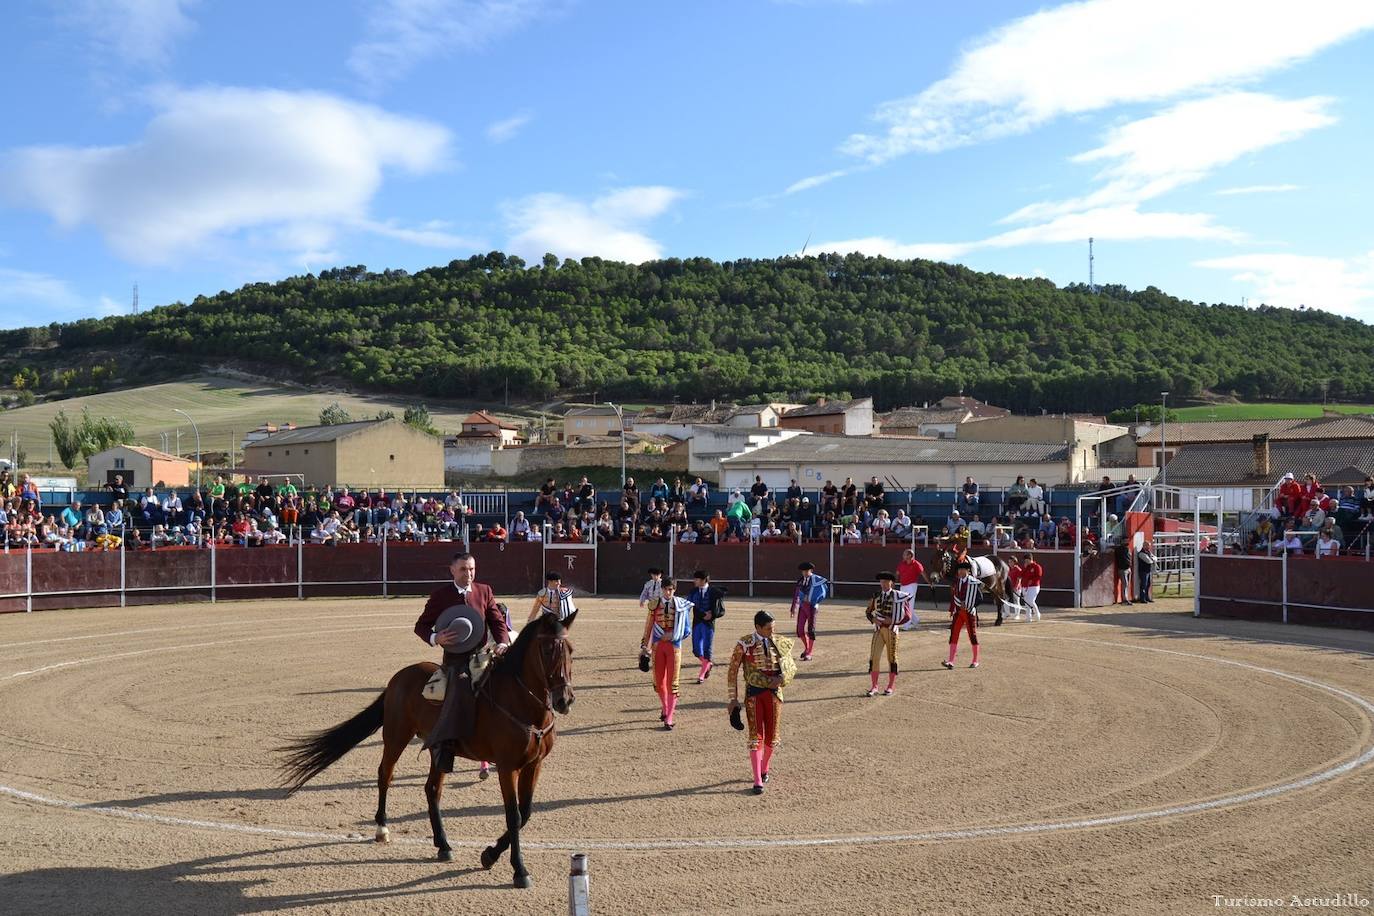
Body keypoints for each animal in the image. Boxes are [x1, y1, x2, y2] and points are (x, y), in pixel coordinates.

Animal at [278, 609, 579, 889]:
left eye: (571, 650)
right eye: (547, 648)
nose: (564, 700)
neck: (522, 705)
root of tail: (399, 677)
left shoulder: (533, 764)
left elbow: (526, 812)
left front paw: (489, 855)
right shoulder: (507, 767)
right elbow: (514, 815)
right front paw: (519, 870)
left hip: (439, 750)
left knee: (432, 789)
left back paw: (443, 845)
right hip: (396, 736)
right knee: (385, 774)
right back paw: (382, 829)